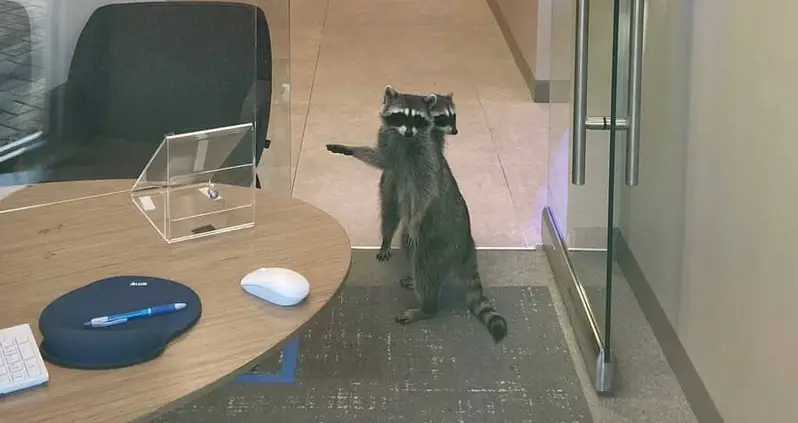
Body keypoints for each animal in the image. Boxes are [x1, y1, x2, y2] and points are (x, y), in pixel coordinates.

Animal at [328, 85, 510, 342]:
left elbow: (426, 191)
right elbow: (380, 159)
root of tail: (467, 243)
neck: (405, 139)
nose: (409, 132)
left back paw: (427, 308)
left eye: (418, 118)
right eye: (401, 116)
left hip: (438, 243)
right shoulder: (390, 146)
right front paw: (352, 149)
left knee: (424, 265)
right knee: (405, 241)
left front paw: (416, 217)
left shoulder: (427, 158)